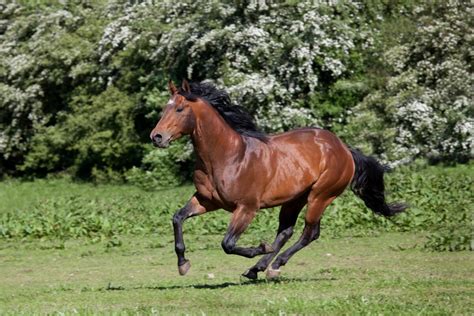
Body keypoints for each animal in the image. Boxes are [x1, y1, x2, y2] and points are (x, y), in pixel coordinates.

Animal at [150, 79, 406, 278]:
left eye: (180, 109)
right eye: (164, 109)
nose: (157, 137)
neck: (227, 156)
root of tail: (344, 149)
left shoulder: (247, 208)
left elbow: (228, 244)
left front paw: (261, 247)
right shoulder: (207, 201)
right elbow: (177, 218)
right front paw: (183, 264)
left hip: (320, 196)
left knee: (309, 233)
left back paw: (274, 266)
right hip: (294, 199)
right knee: (285, 232)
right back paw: (257, 269)